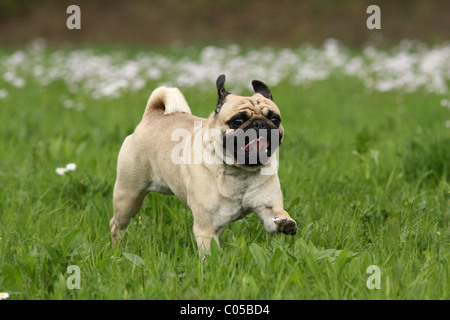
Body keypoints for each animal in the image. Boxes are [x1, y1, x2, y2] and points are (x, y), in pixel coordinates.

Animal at [110, 74, 298, 255]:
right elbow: (210, 255)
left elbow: (276, 217)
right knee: (116, 225)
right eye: (237, 120)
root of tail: (151, 116)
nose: (259, 123)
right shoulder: (206, 229)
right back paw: (117, 250)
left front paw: (286, 223)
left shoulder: (268, 208)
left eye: (274, 119)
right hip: (129, 197)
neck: (240, 170)